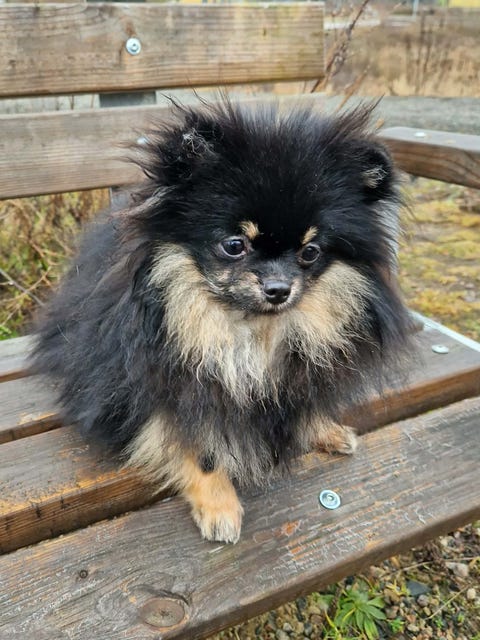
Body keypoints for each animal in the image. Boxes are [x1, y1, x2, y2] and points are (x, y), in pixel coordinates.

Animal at [32, 99, 413, 543]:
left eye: (310, 251)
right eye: (235, 245)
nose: (279, 288)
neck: (246, 331)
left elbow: (303, 402)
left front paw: (324, 428)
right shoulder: (167, 384)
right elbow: (201, 446)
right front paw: (219, 506)